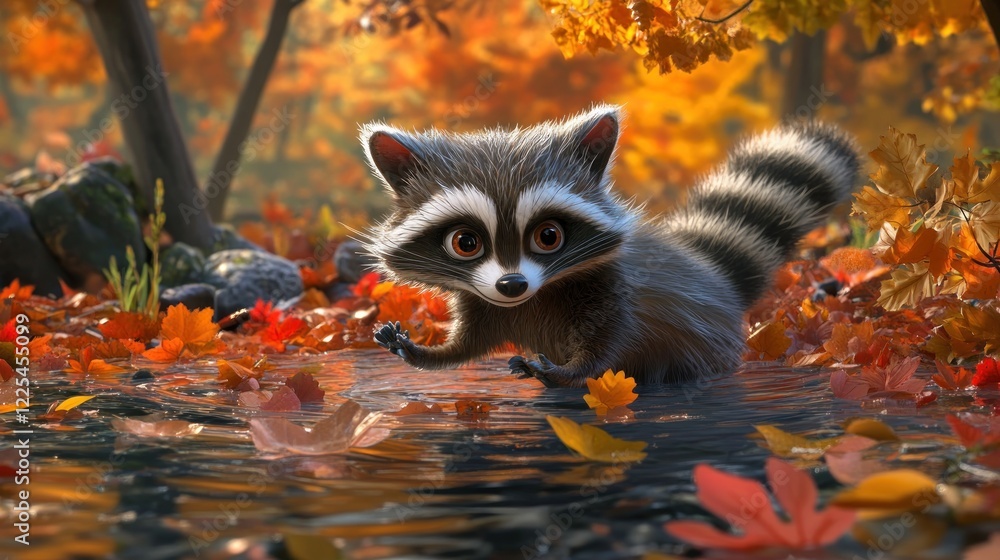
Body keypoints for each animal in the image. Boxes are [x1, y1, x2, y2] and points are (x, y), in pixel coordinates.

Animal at [359, 105, 859, 387]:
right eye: (465, 242)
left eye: (548, 236)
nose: (512, 284)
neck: (535, 296)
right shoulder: (482, 301)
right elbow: (468, 345)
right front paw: (425, 352)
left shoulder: (613, 290)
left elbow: (608, 344)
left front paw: (572, 371)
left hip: (704, 344)